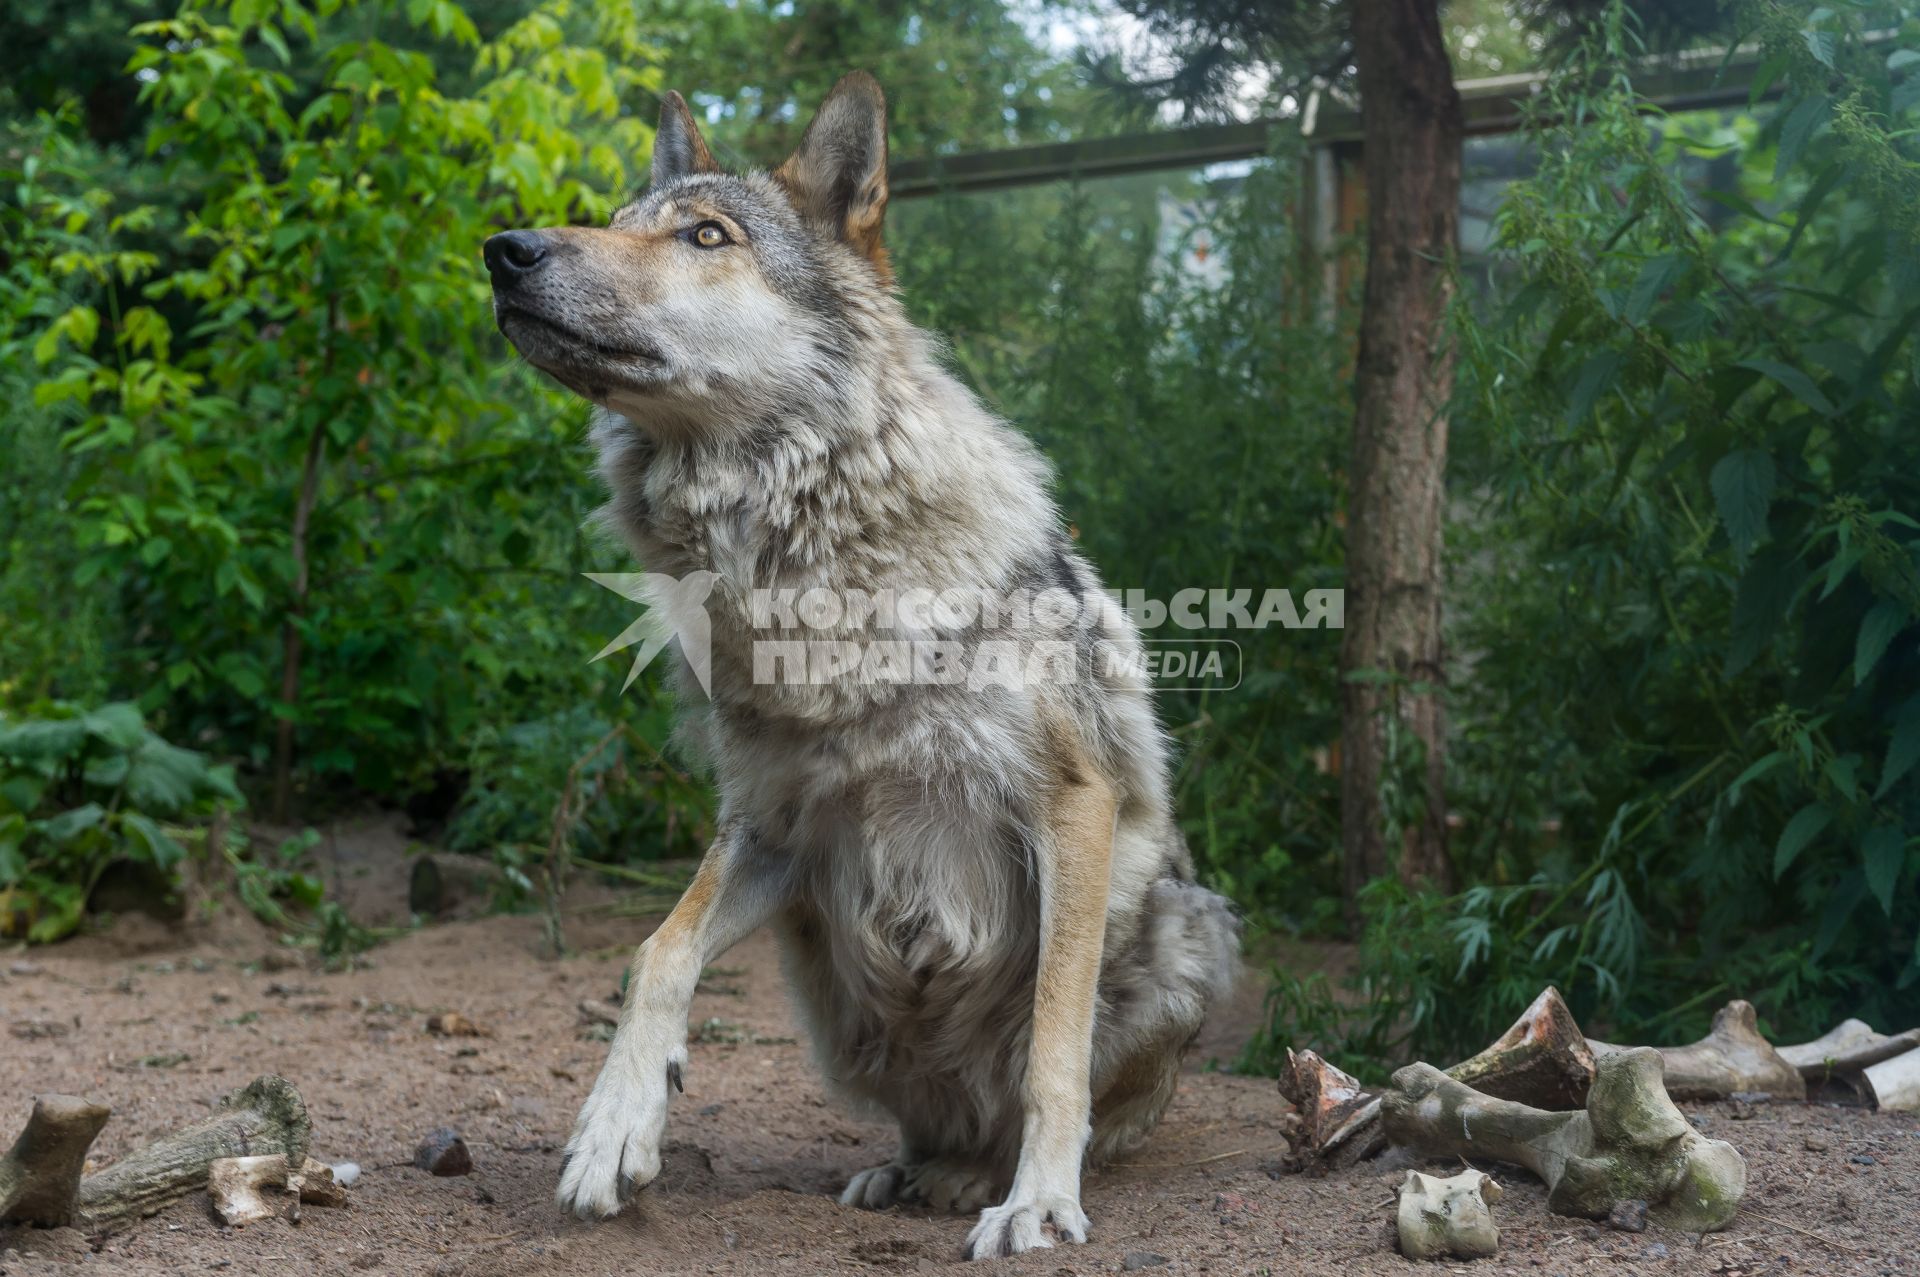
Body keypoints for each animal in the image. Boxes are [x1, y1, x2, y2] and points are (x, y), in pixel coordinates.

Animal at [483, 69, 1244, 1252]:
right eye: (613, 223)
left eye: (706, 236)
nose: (505, 248)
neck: (804, 558)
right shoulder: (769, 825)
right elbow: (657, 949)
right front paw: (614, 1127)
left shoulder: (1070, 805)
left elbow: (1053, 1041)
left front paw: (1040, 1201)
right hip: (833, 990)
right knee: (930, 1119)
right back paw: (917, 1171)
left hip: (1187, 926)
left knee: (1040, 1092)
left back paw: (984, 1179)